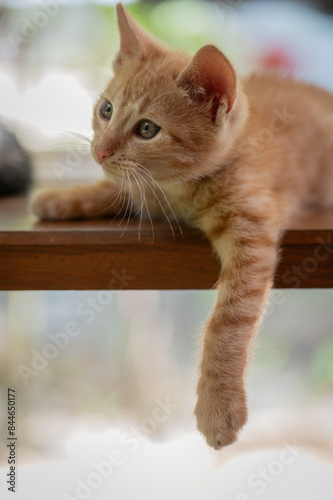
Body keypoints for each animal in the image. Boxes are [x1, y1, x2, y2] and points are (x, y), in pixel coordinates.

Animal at [32, 3, 332, 450]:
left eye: (147, 129)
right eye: (106, 109)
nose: (99, 151)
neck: (178, 192)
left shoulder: (253, 230)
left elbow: (228, 321)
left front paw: (218, 407)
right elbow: (122, 190)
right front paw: (63, 198)